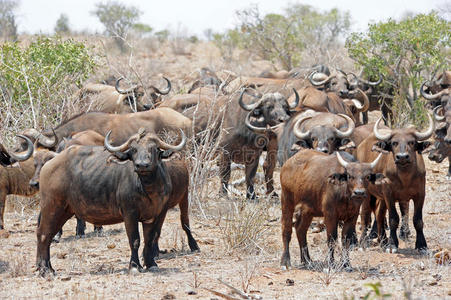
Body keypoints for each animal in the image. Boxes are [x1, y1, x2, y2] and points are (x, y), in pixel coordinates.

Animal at [356, 115, 434, 253]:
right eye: (394, 143)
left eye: (412, 142)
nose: (402, 157)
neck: (405, 178)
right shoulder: (389, 195)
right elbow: (393, 219)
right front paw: (392, 245)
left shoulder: (420, 194)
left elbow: (417, 220)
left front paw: (421, 245)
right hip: (367, 193)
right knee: (365, 213)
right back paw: (363, 242)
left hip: (381, 198)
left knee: (379, 215)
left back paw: (383, 241)